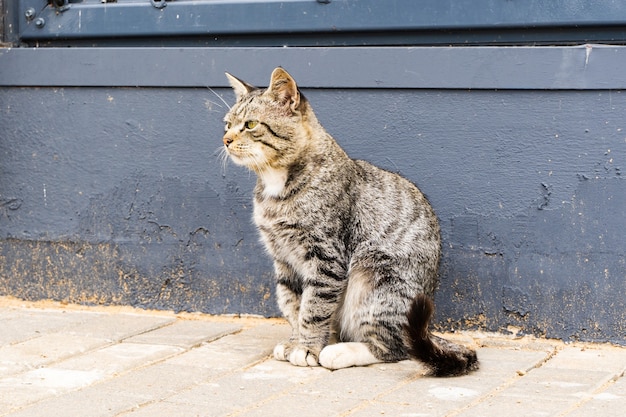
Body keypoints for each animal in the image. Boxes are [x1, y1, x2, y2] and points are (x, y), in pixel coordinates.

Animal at [222, 67, 476, 374]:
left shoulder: (325, 257)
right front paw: (296, 341)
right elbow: (294, 305)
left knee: (395, 347)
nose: (225, 140)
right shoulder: (283, 260)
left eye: (249, 125)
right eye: (227, 125)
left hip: (375, 279)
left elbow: (313, 308)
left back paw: (340, 352)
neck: (277, 185)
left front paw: (307, 347)